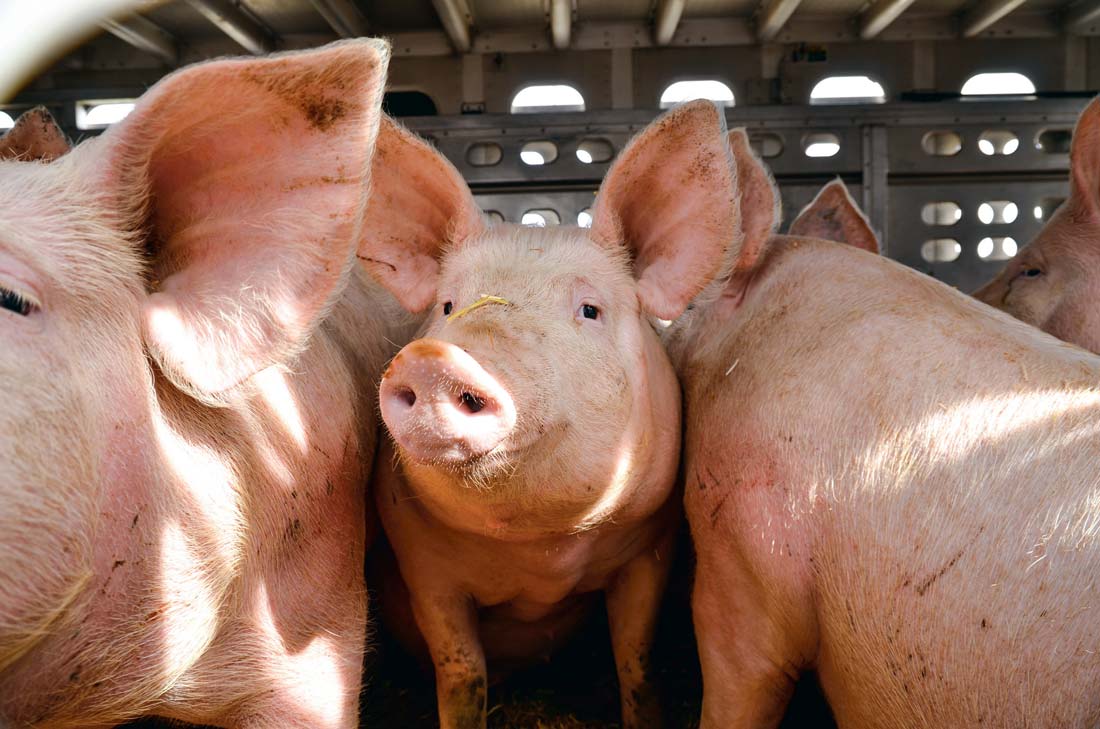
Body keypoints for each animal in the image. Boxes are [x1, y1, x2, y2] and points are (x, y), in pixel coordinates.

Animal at [357, 101, 740, 729]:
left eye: (589, 309)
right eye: (447, 306)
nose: (435, 360)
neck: (540, 551)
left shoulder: (650, 547)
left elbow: (636, 658)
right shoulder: (422, 564)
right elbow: (460, 671)